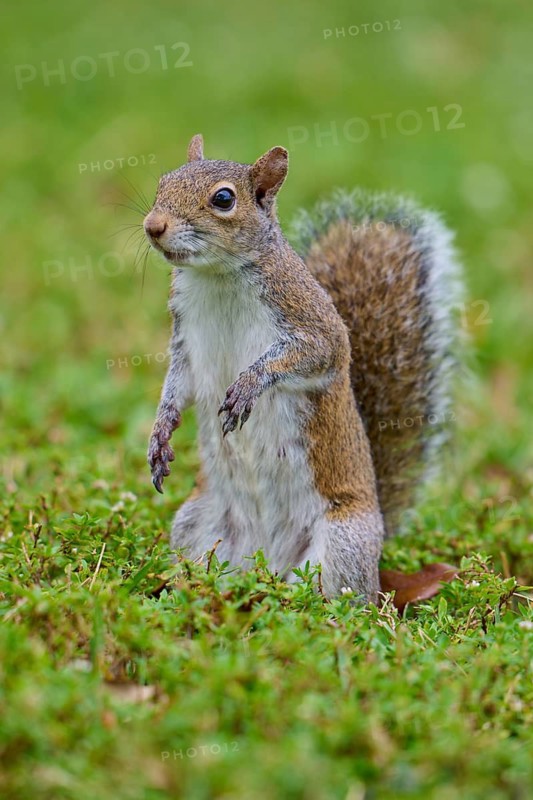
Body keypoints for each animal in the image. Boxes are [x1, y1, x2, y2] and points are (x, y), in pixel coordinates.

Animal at [144, 134, 463, 603]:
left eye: (224, 199)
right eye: (163, 182)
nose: (153, 226)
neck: (216, 277)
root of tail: (267, 563)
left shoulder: (312, 321)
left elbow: (318, 354)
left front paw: (249, 384)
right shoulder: (185, 339)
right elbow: (177, 384)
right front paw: (160, 432)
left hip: (342, 542)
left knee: (349, 600)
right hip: (196, 523)